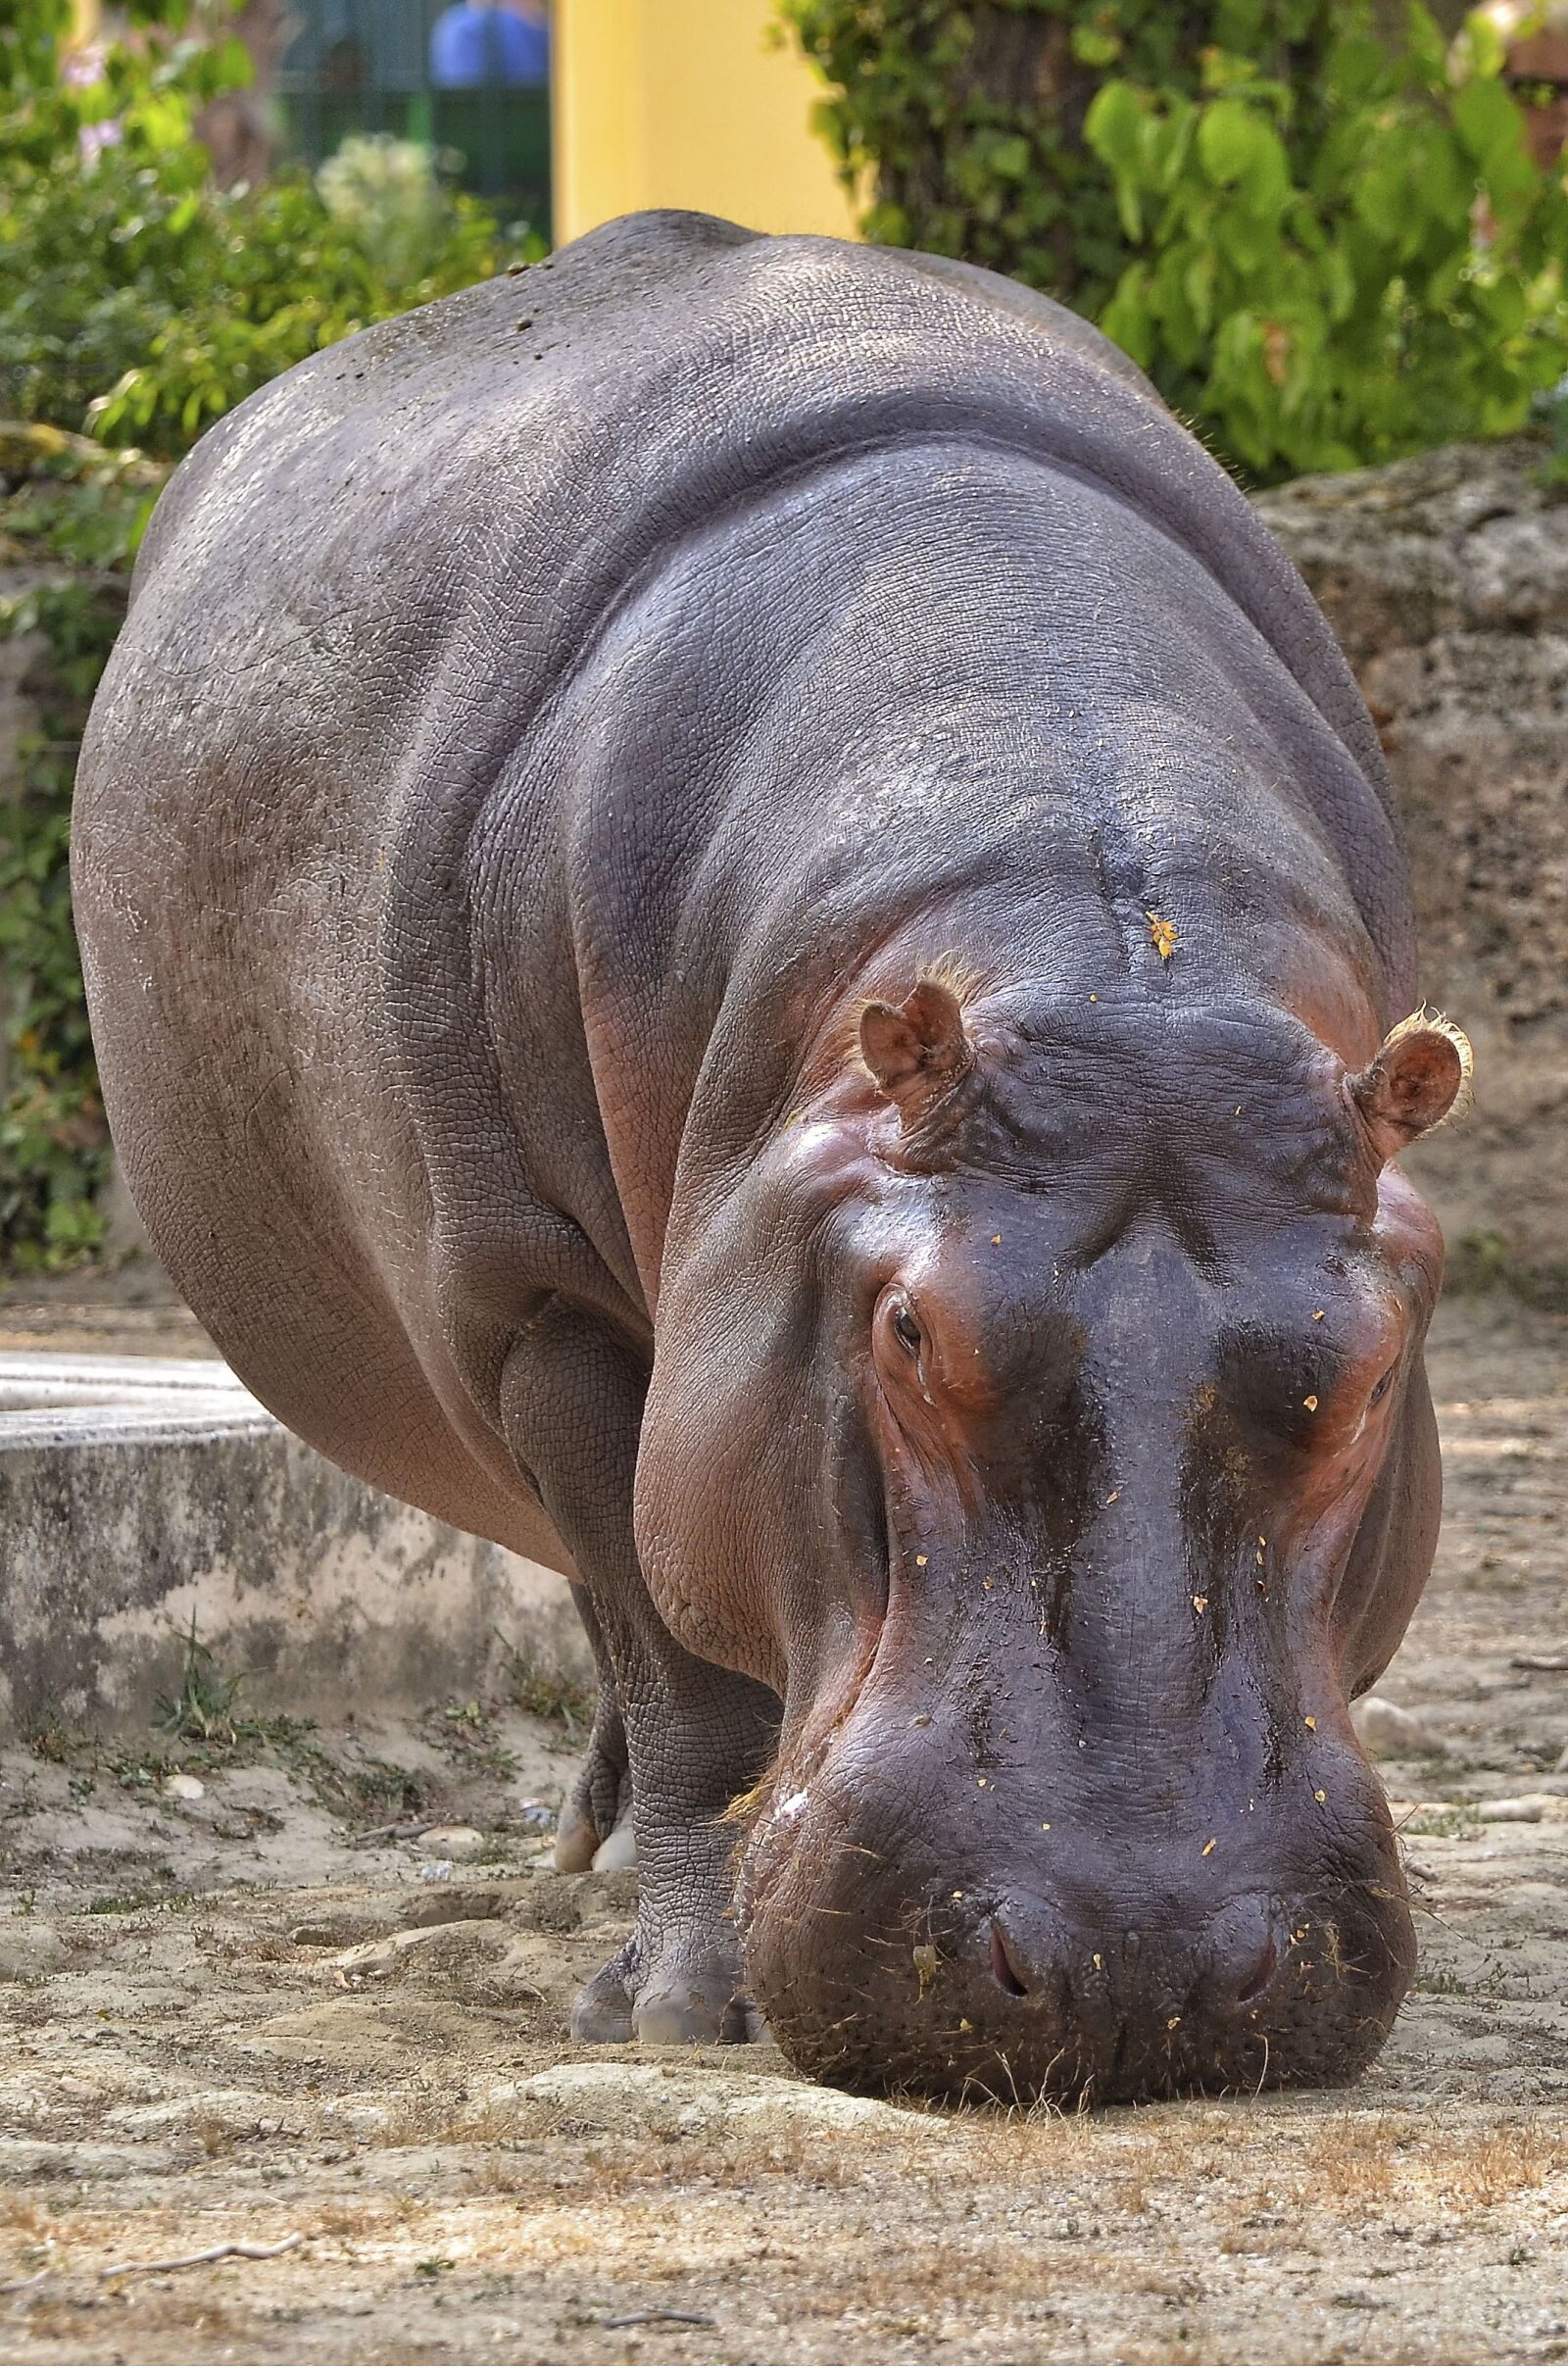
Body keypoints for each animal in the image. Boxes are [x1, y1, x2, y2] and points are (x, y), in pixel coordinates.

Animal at [72, 209, 1470, 2105]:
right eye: (908, 1332)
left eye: (1374, 1363)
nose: (1133, 1962)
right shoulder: (546, 1313)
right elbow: (684, 1670)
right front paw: (680, 2005)